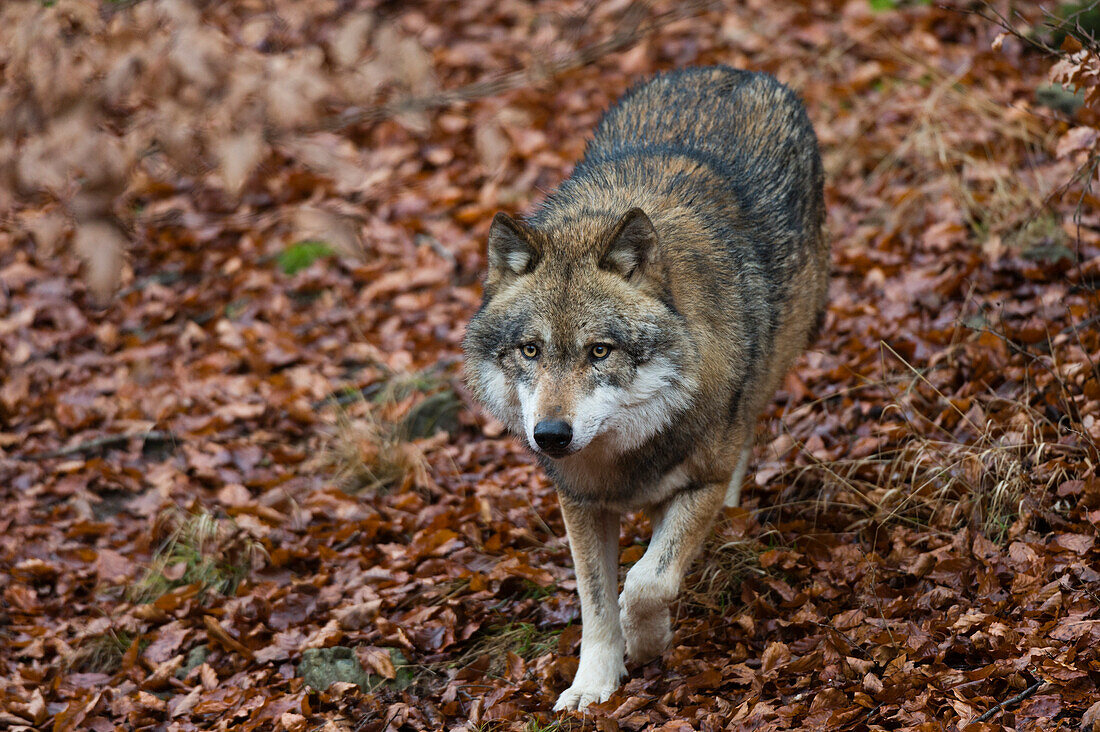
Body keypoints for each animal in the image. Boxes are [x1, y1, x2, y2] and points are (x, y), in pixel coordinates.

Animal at [459, 67, 827, 708]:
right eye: (531, 350)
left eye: (599, 351)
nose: (550, 435)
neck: (622, 457)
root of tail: (729, 70)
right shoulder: (579, 502)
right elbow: (597, 601)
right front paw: (593, 685)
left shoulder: (699, 482)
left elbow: (646, 582)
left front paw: (650, 644)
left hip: (768, 371)